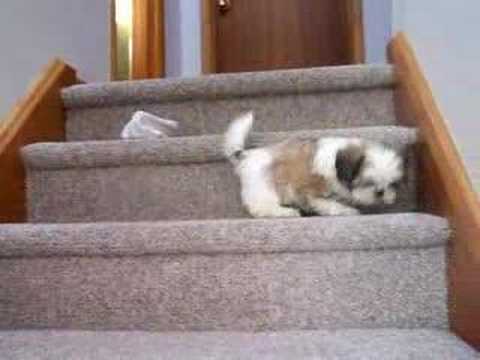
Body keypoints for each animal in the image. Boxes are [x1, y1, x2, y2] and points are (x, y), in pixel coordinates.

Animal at [223, 112, 404, 218]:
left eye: (391, 184)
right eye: (368, 182)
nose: (380, 192)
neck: (334, 164)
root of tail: (246, 155)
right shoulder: (311, 193)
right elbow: (328, 204)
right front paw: (347, 210)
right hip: (264, 187)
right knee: (261, 207)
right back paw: (285, 212)